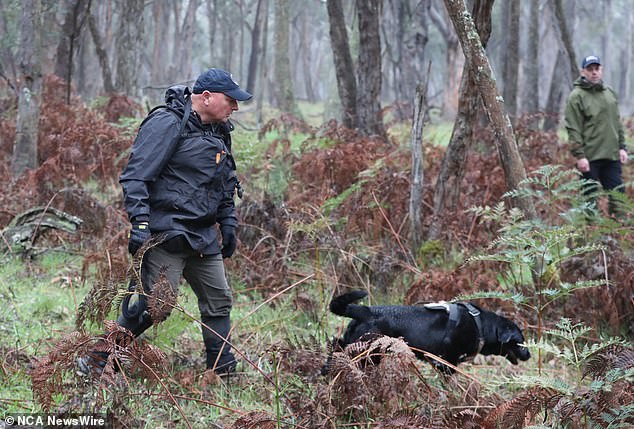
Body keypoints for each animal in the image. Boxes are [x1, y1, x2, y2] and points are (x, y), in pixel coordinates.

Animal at [326, 290, 528, 372]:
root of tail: (366, 311)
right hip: (367, 352)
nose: (529, 355)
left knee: (335, 346)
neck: (480, 324)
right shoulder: (446, 363)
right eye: (520, 342)